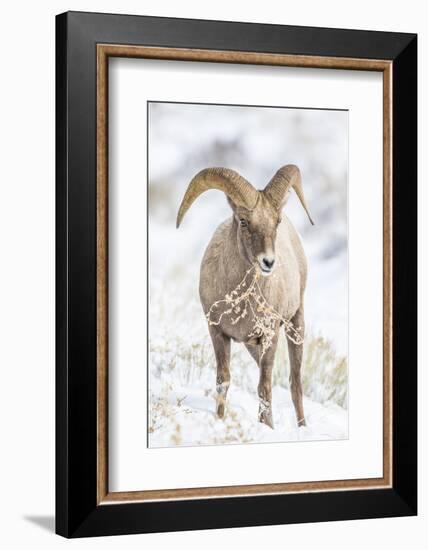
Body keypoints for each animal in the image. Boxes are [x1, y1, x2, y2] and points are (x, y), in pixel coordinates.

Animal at [176, 166, 312, 430]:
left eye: (277, 221)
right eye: (243, 221)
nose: (268, 262)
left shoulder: (270, 336)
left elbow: (264, 388)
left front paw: (267, 428)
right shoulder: (218, 333)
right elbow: (223, 381)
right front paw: (219, 420)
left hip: (296, 323)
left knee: (295, 384)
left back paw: (302, 428)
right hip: (252, 345)